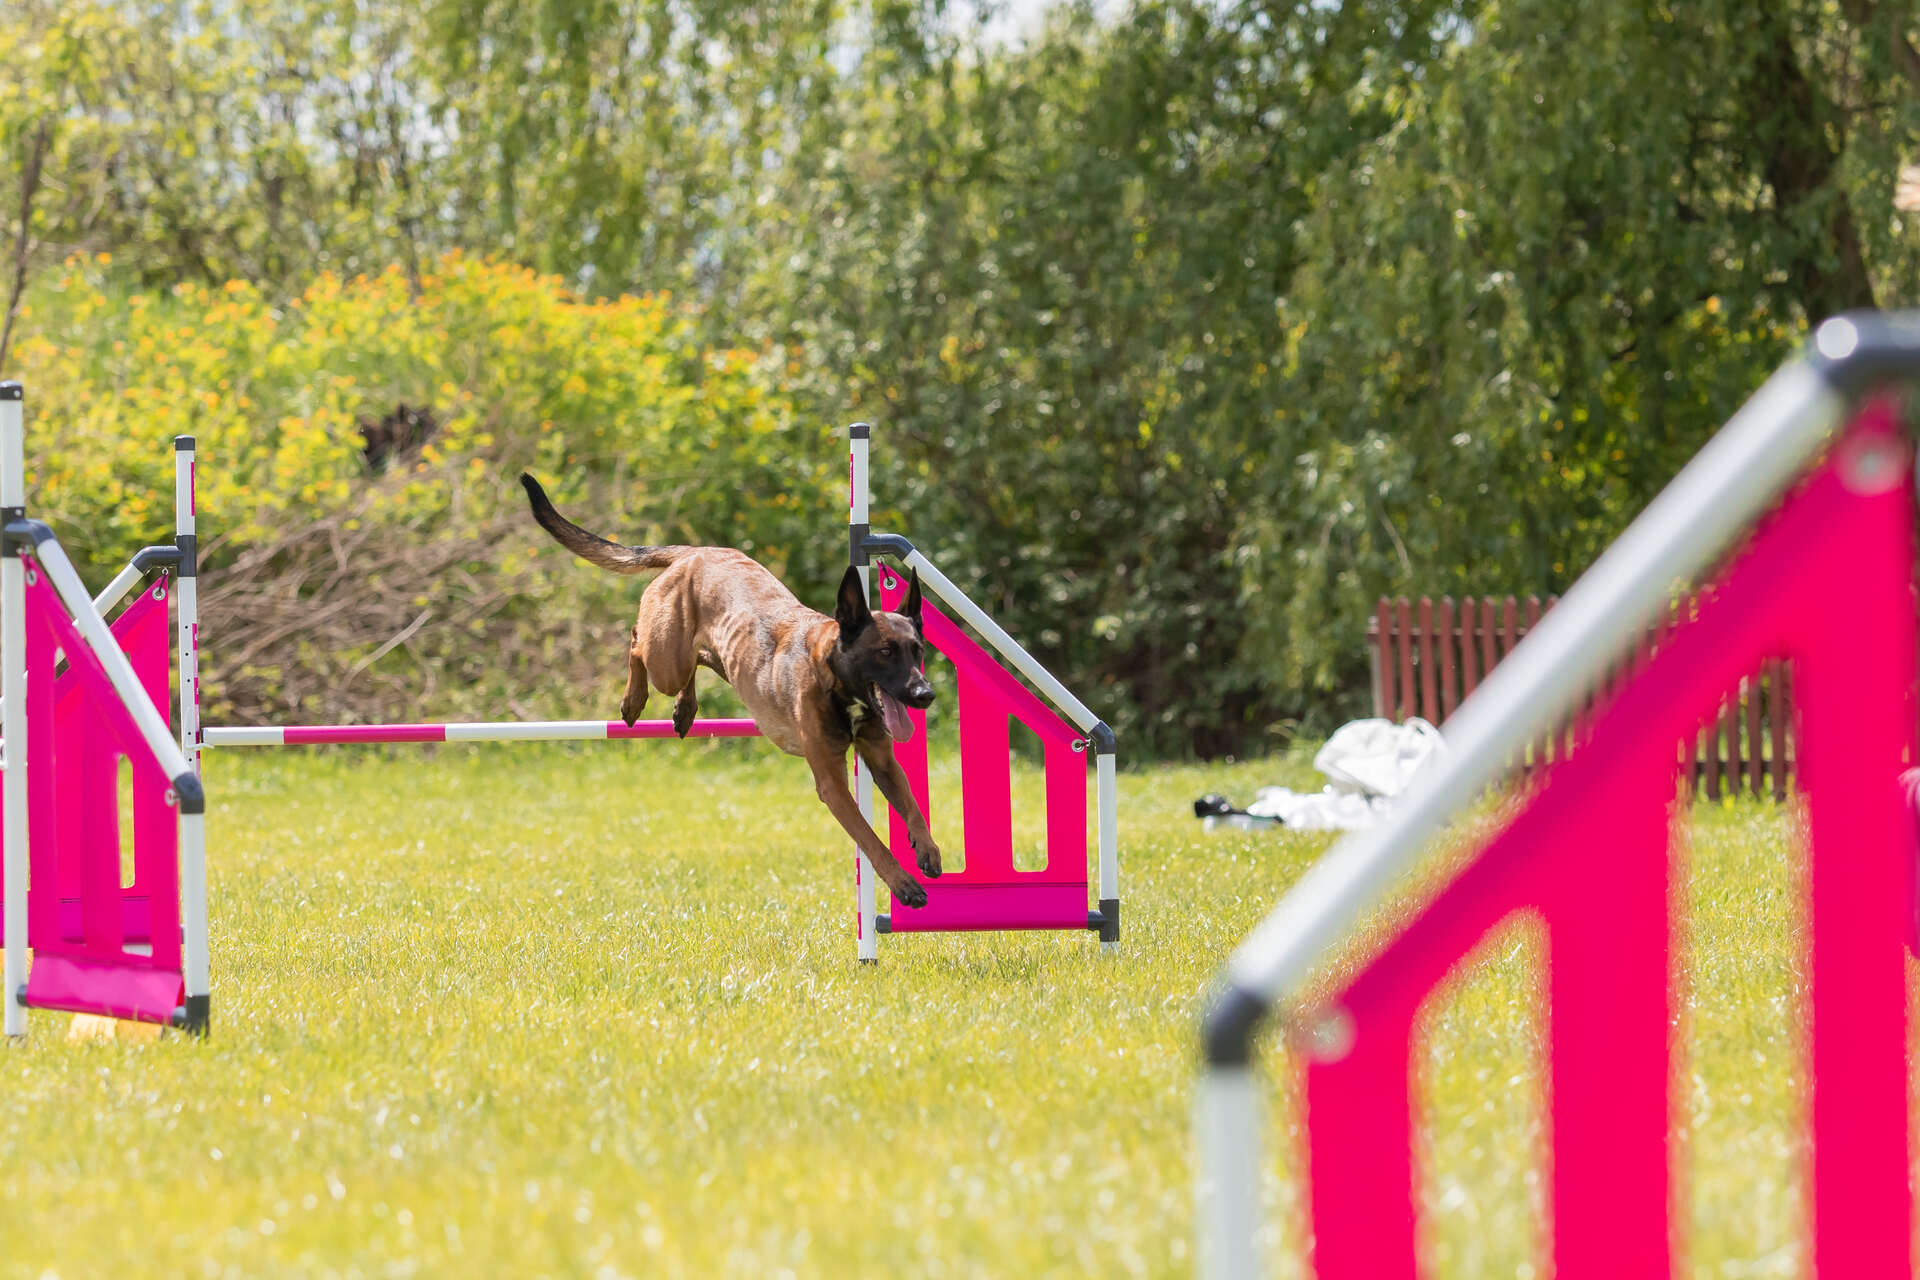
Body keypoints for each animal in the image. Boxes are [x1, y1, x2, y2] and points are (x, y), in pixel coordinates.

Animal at [522, 474, 940, 909]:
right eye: (885, 652)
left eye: (917, 651)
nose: (925, 694)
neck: (833, 677)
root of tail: (694, 552)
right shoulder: (832, 784)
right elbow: (871, 840)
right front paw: (902, 883)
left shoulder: (882, 759)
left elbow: (912, 806)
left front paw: (927, 849)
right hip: (666, 660)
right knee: (637, 641)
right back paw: (634, 700)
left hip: (711, 657)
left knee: (695, 661)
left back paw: (685, 709)